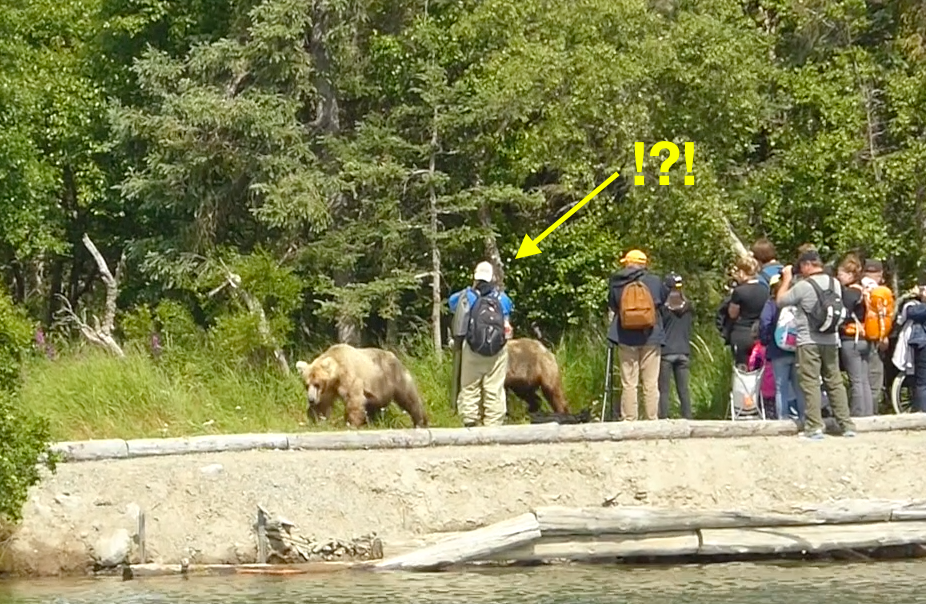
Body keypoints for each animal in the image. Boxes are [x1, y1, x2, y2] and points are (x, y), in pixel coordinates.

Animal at [295, 343, 429, 429]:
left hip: (392, 377)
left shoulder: (349, 377)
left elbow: (353, 398)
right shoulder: (328, 389)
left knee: (409, 397)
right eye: (307, 385)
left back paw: (420, 421)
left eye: (317, 384)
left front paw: (351, 423)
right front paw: (315, 420)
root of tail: (394, 356)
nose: (311, 399)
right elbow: (322, 404)